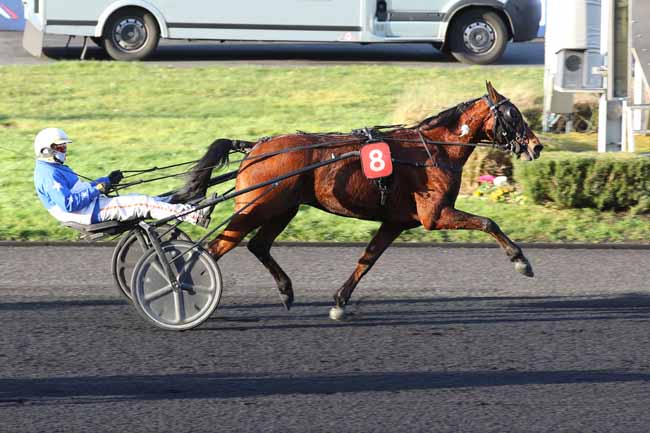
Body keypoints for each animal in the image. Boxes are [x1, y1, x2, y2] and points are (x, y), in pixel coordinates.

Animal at [172, 81, 540, 318]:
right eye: (513, 115)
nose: (536, 146)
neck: (433, 151)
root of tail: (256, 147)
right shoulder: (434, 215)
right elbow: (488, 222)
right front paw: (520, 260)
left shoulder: (395, 222)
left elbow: (368, 259)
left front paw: (339, 302)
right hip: (255, 207)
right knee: (214, 247)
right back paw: (182, 286)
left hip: (282, 208)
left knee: (257, 246)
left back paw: (286, 291)